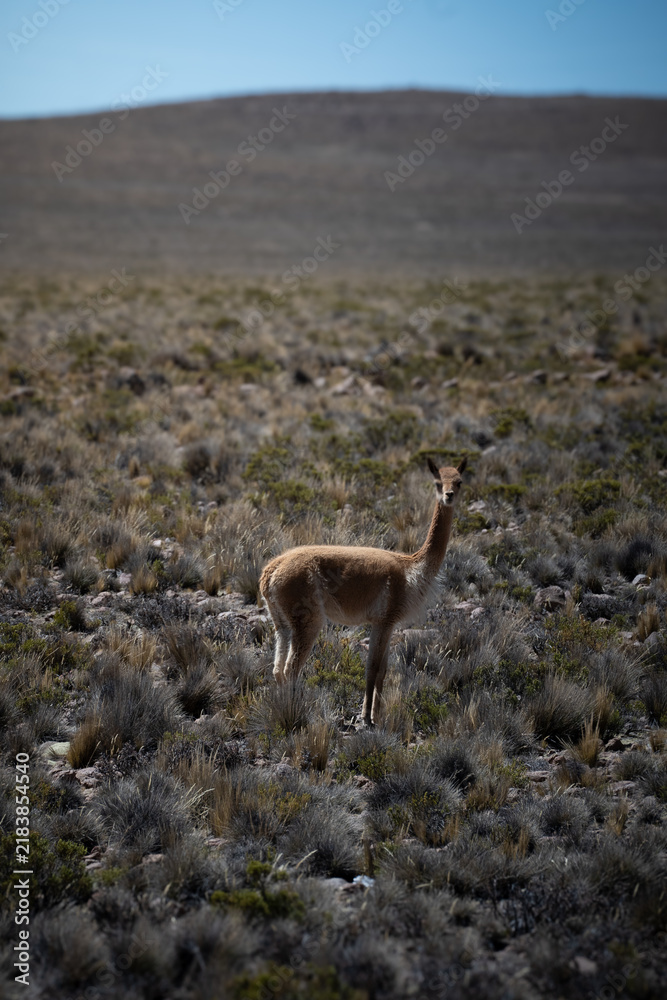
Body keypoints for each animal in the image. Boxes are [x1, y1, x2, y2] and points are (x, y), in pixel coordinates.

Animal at [259, 457, 467, 727]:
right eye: (437, 483)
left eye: (459, 482)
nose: (448, 496)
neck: (412, 568)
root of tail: (271, 571)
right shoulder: (384, 619)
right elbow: (373, 669)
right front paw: (366, 718)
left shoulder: (386, 623)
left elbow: (382, 671)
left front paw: (376, 716)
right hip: (307, 617)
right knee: (291, 668)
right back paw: (295, 713)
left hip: (281, 621)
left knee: (277, 668)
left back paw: (284, 709)